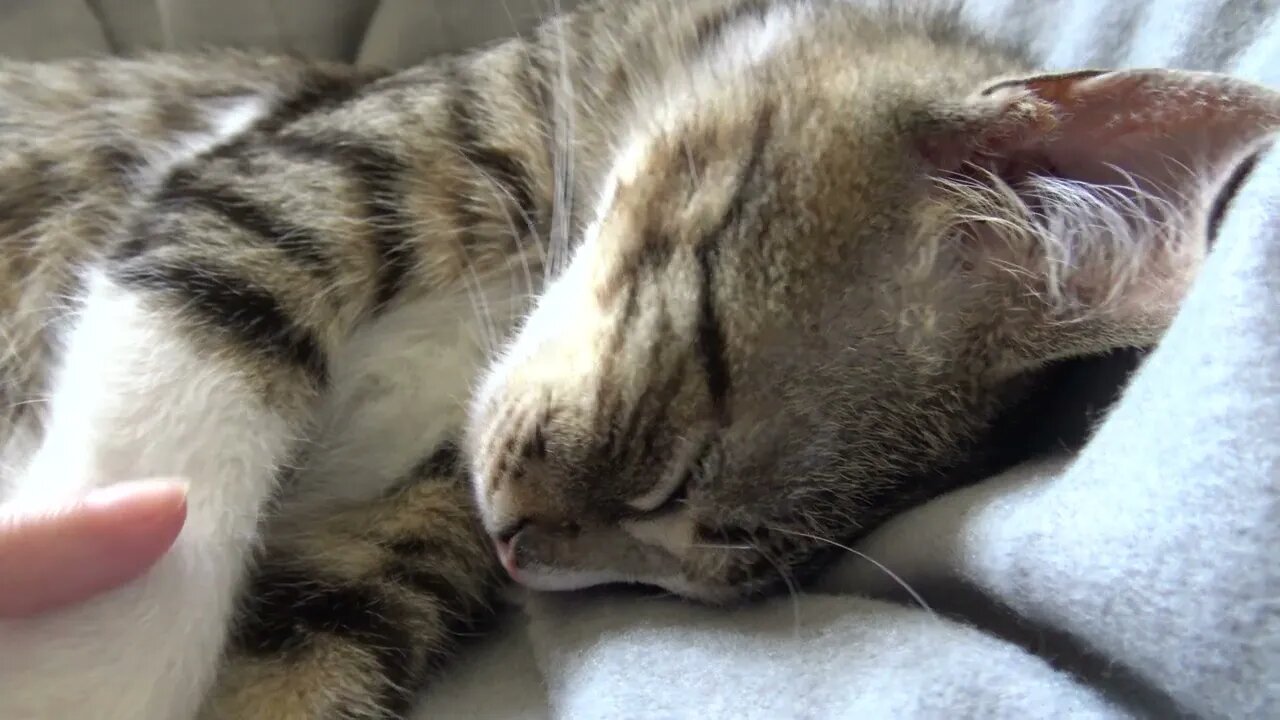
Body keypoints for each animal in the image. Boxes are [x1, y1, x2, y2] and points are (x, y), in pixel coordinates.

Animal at [2, 0, 1280, 712]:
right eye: (670, 471)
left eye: (683, 573)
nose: (519, 554)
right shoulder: (288, 176)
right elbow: (169, 434)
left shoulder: (400, 534)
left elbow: (302, 653)